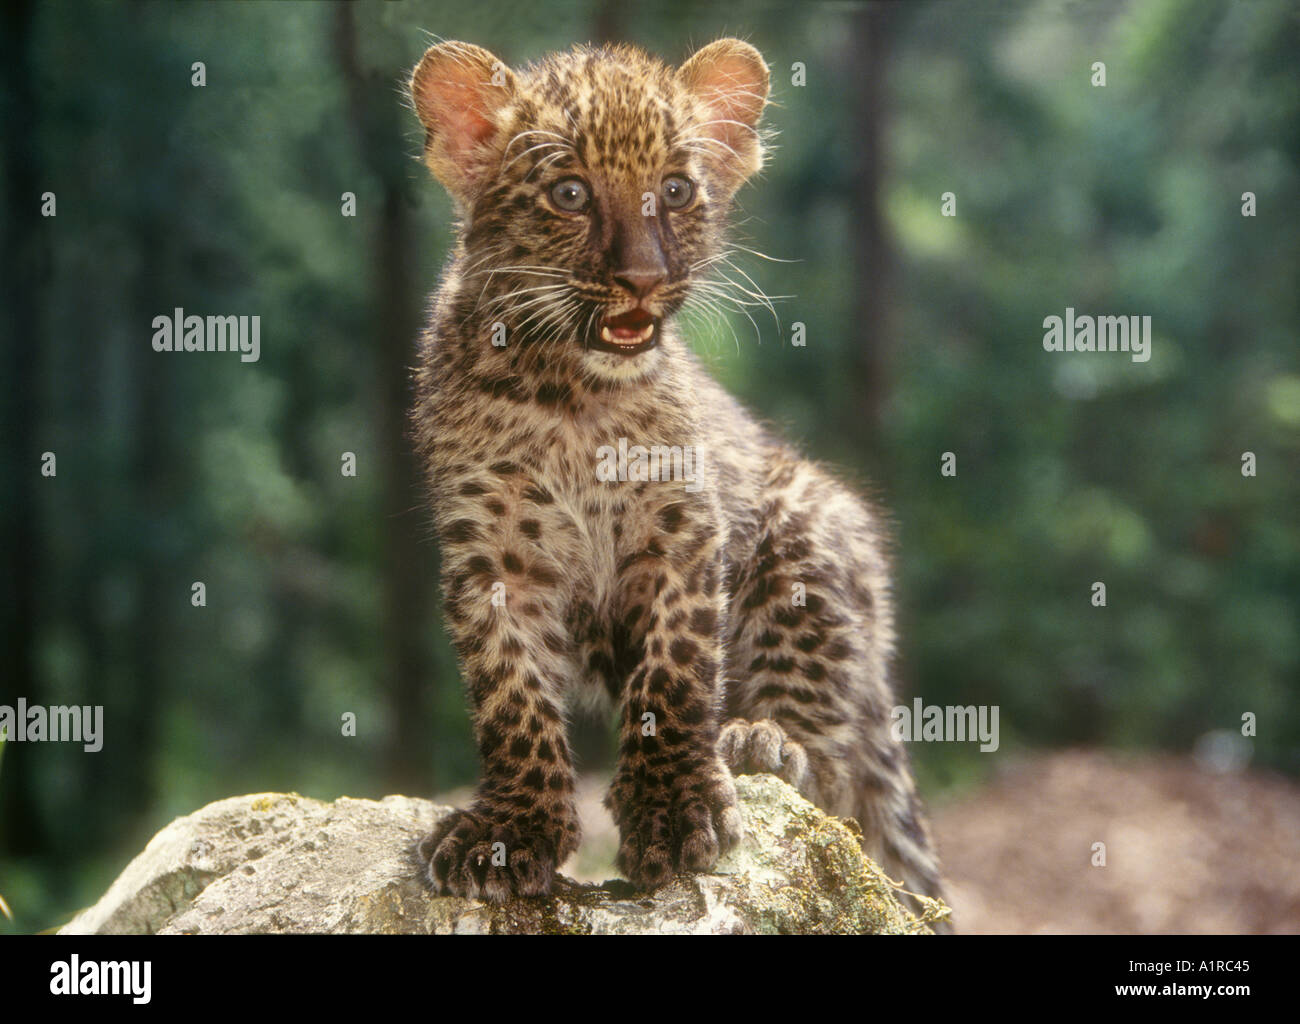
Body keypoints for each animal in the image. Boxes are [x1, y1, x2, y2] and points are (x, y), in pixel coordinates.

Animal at [406, 36, 948, 926]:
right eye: (569, 193)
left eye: (675, 190)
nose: (643, 277)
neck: (569, 392)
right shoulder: (493, 556)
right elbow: (511, 693)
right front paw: (512, 828)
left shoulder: (682, 528)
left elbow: (675, 670)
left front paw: (675, 809)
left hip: (812, 533)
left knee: (835, 771)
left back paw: (761, 739)